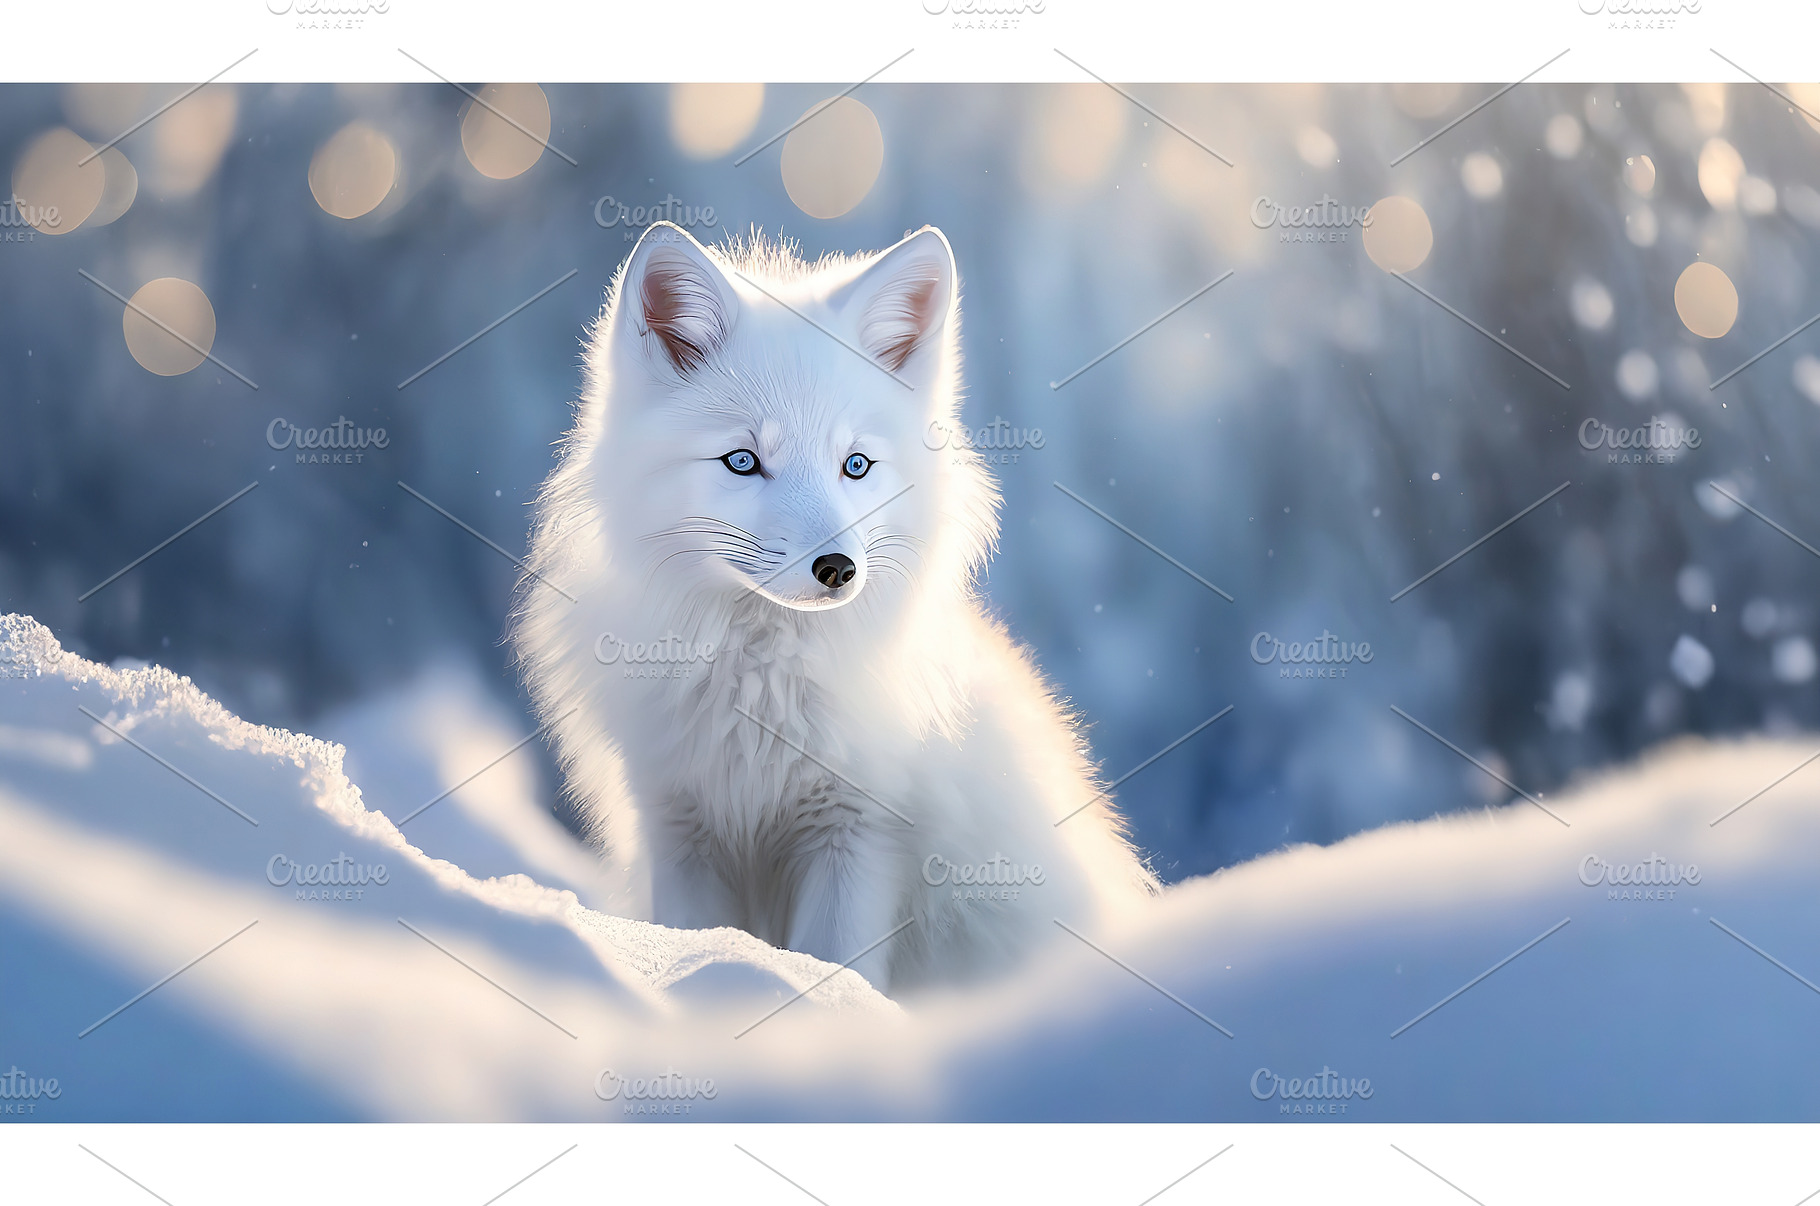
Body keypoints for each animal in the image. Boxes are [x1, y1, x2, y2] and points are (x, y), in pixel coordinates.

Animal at [513, 221, 1158, 993]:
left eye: (856, 465)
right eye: (742, 461)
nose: (838, 569)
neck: (759, 700)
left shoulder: (859, 833)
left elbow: (833, 964)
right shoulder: (681, 829)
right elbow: (695, 939)